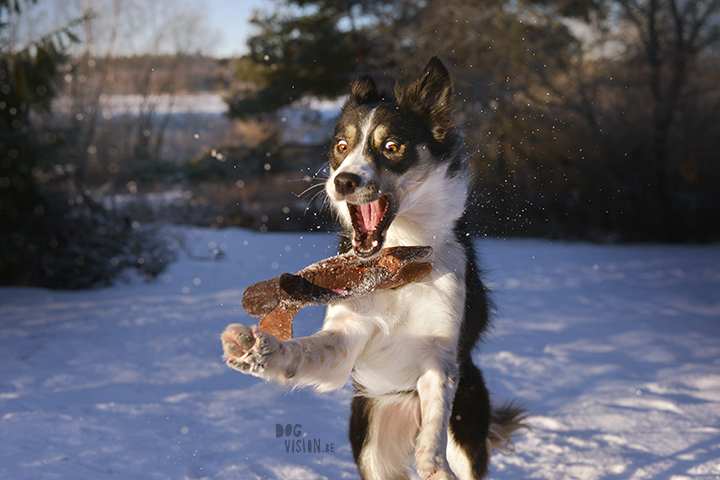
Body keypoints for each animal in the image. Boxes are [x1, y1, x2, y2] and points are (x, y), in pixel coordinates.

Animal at [222, 58, 524, 478]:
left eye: (392, 147)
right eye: (341, 147)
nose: (344, 181)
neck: (399, 258)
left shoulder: (441, 355)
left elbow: (435, 418)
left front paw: (433, 462)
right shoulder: (347, 337)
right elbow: (304, 351)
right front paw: (260, 350)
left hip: (468, 423)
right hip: (372, 445)